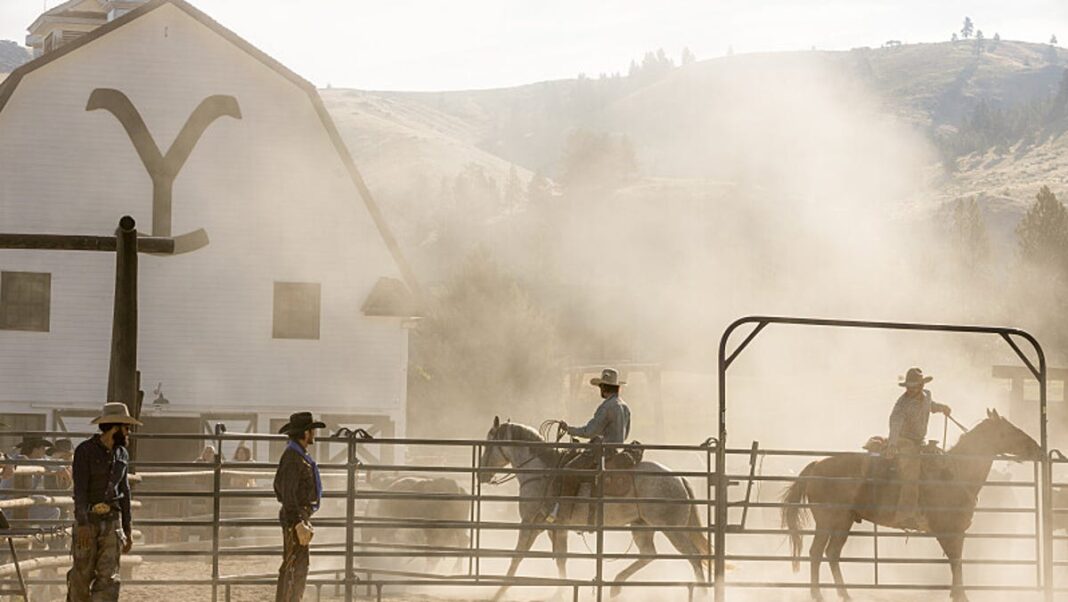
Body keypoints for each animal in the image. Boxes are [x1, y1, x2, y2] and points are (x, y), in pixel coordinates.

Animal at [480, 416, 713, 597]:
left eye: (489, 443)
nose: (482, 474)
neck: (542, 472)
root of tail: (680, 478)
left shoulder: (530, 522)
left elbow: (516, 558)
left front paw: (498, 593)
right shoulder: (553, 527)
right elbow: (560, 559)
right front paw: (560, 592)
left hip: (673, 529)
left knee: (694, 557)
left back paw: (702, 593)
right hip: (642, 526)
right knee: (649, 554)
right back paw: (616, 585)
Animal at [777, 409, 1042, 602]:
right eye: (1011, 431)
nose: (1038, 449)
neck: (955, 472)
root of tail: (816, 464)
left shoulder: (958, 530)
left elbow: (957, 560)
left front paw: (957, 593)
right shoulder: (947, 530)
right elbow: (956, 560)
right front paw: (961, 595)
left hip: (844, 521)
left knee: (832, 553)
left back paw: (845, 594)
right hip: (827, 520)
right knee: (816, 553)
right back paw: (818, 594)